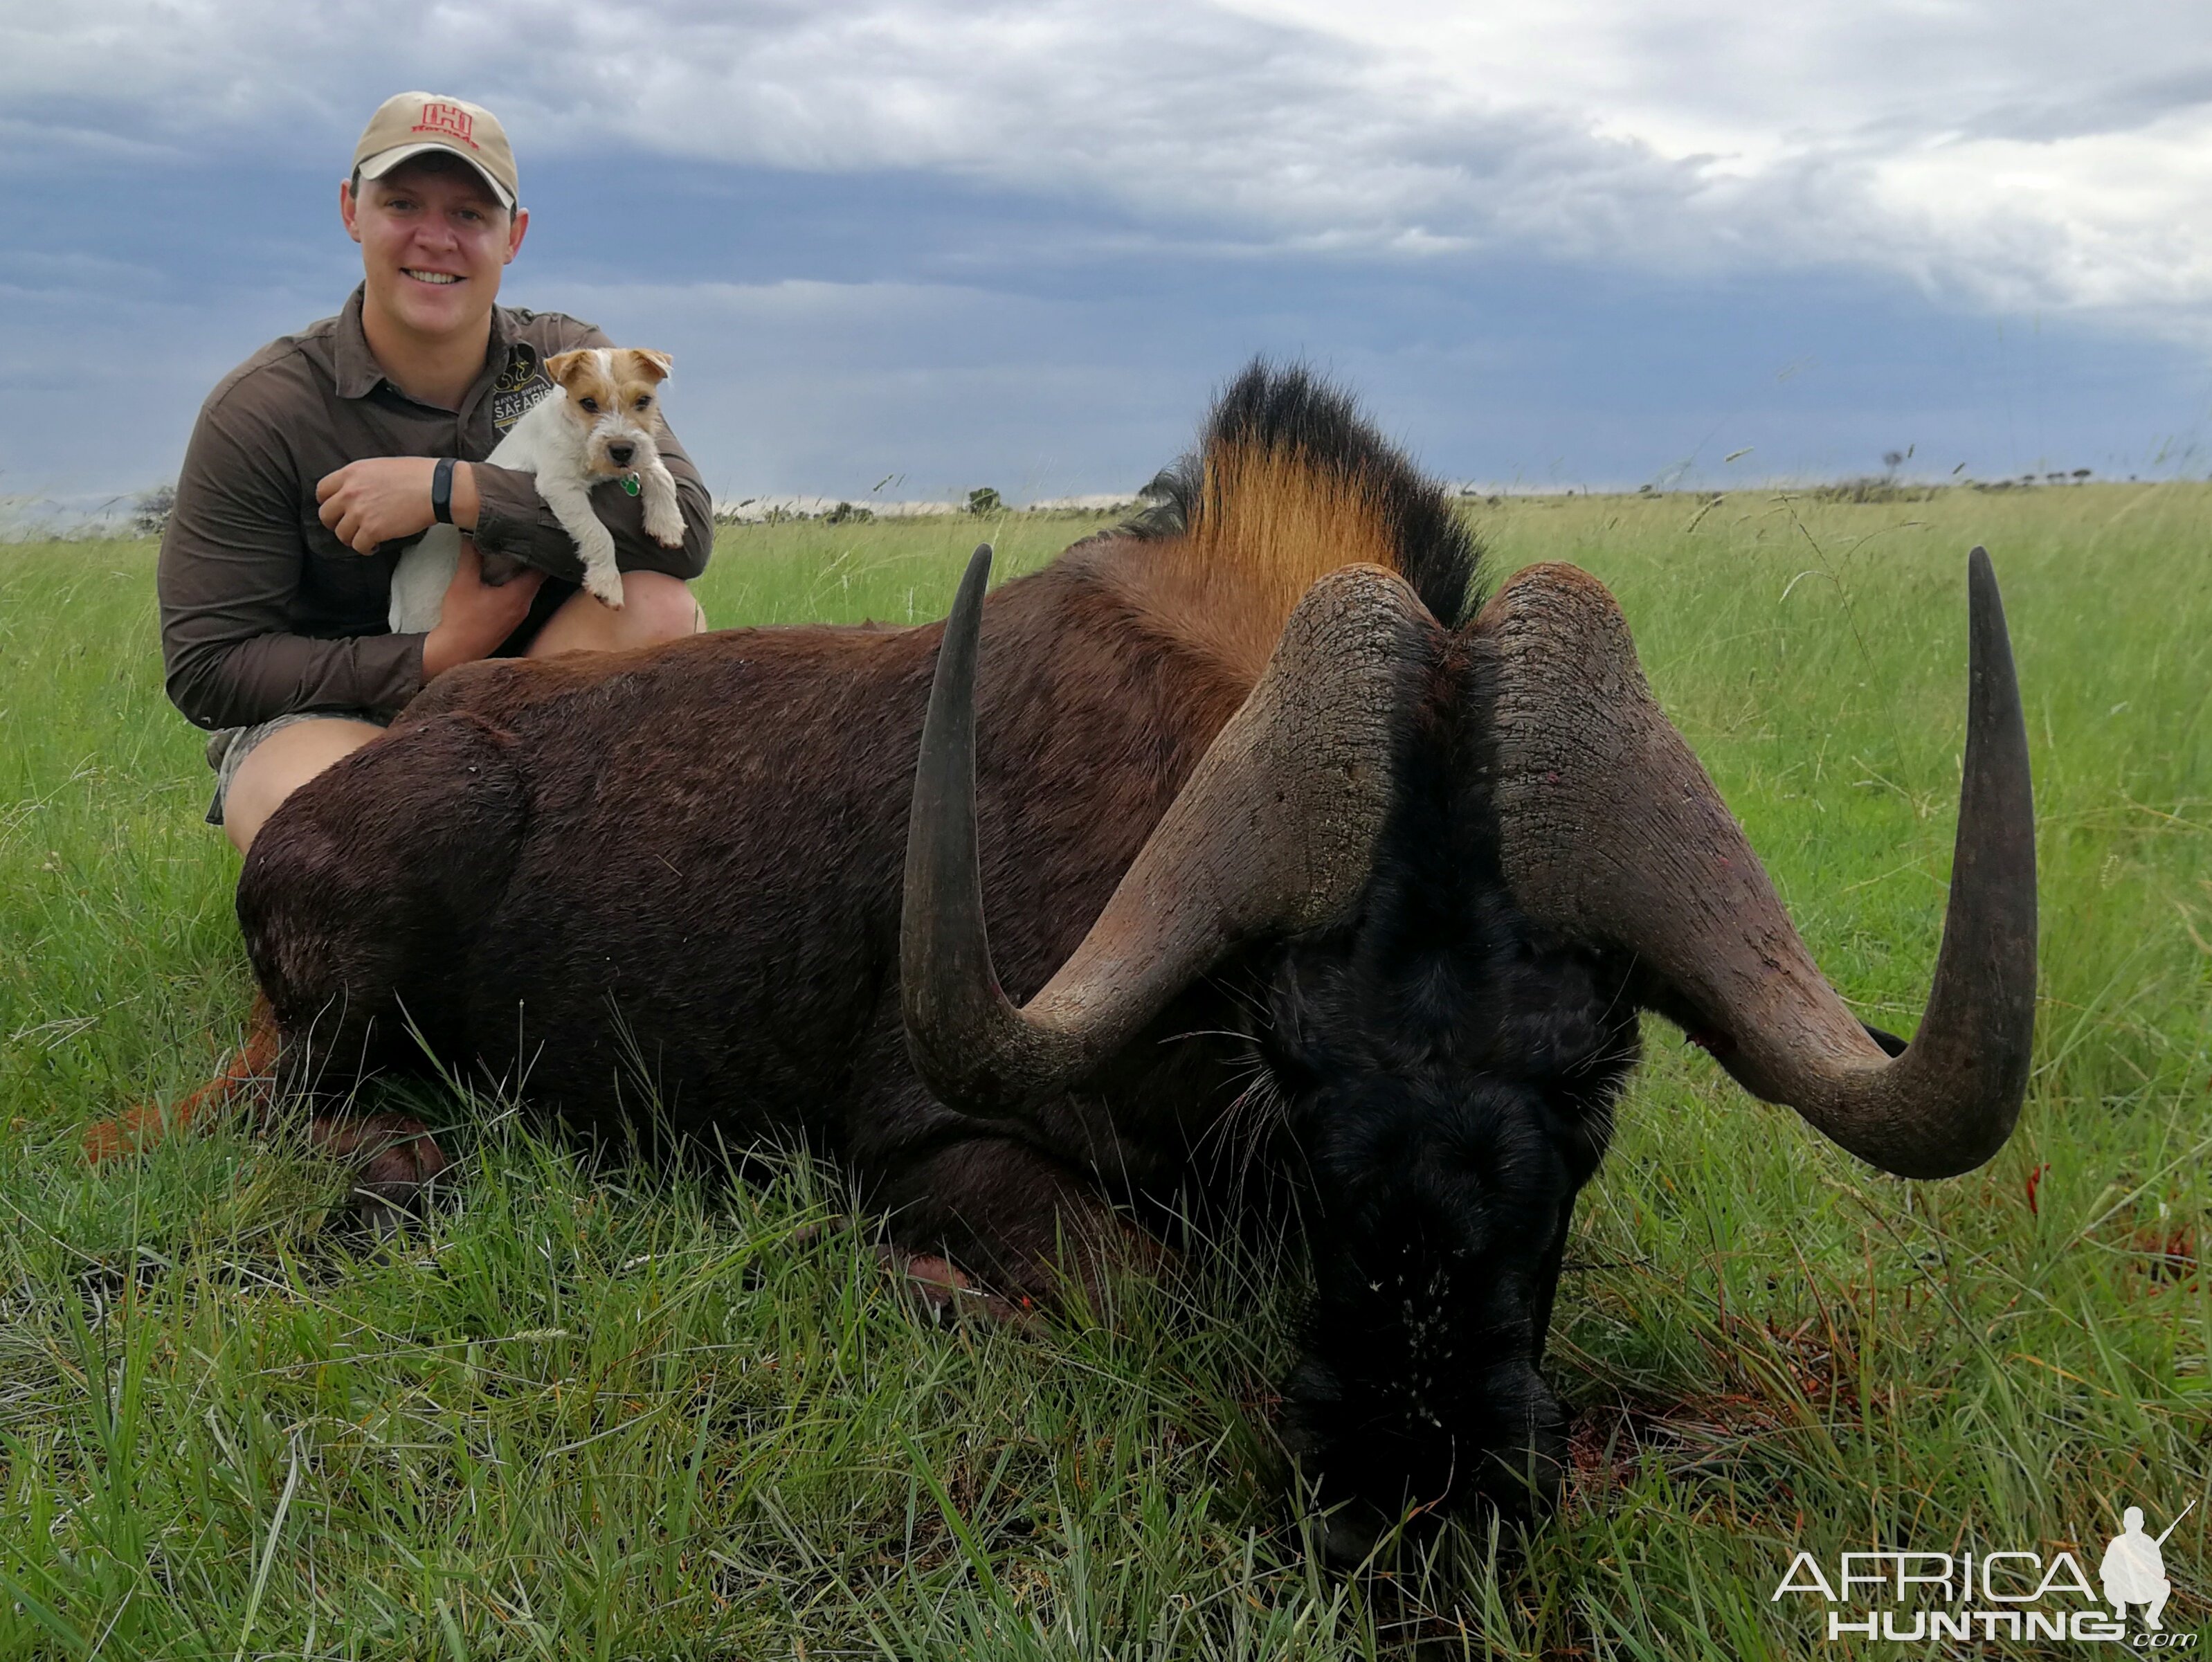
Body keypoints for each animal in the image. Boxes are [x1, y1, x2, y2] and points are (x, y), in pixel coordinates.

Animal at [389, 347, 681, 633]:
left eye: (643, 401)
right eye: (588, 403)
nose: (622, 450)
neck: (576, 430)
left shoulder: (639, 456)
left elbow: (660, 472)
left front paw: (668, 524)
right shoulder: (559, 484)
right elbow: (598, 532)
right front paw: (607, 582)